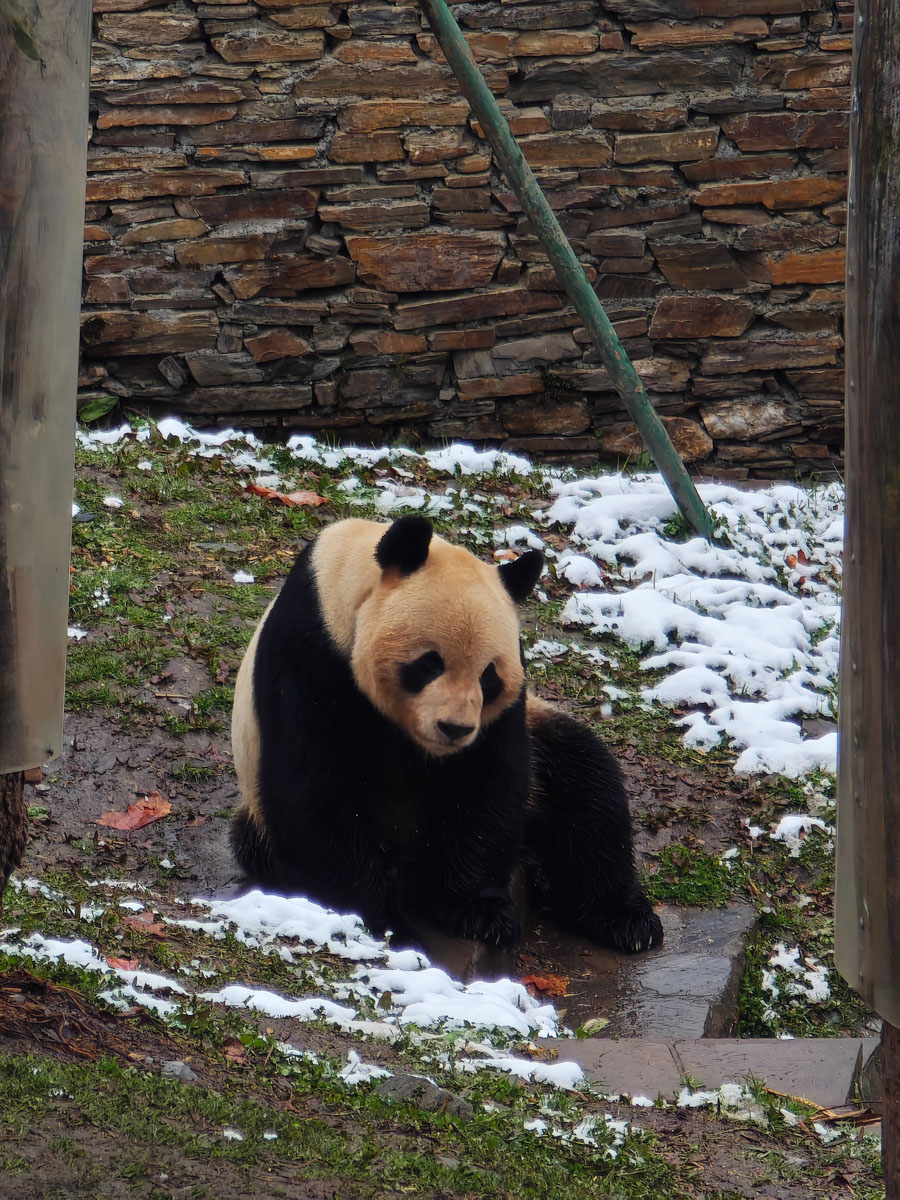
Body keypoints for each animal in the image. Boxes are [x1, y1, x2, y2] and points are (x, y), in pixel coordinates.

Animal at [230, 514, 662, 955]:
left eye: (488, 675)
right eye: (429, 663)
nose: (454, 729)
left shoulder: (504, 709)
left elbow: (485, 785)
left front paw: (479, 912)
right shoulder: (309, 657)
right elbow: (316, 794)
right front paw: (385, 924)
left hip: (543, 736)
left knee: (587, 790)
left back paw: (625, 920)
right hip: (256, 817)